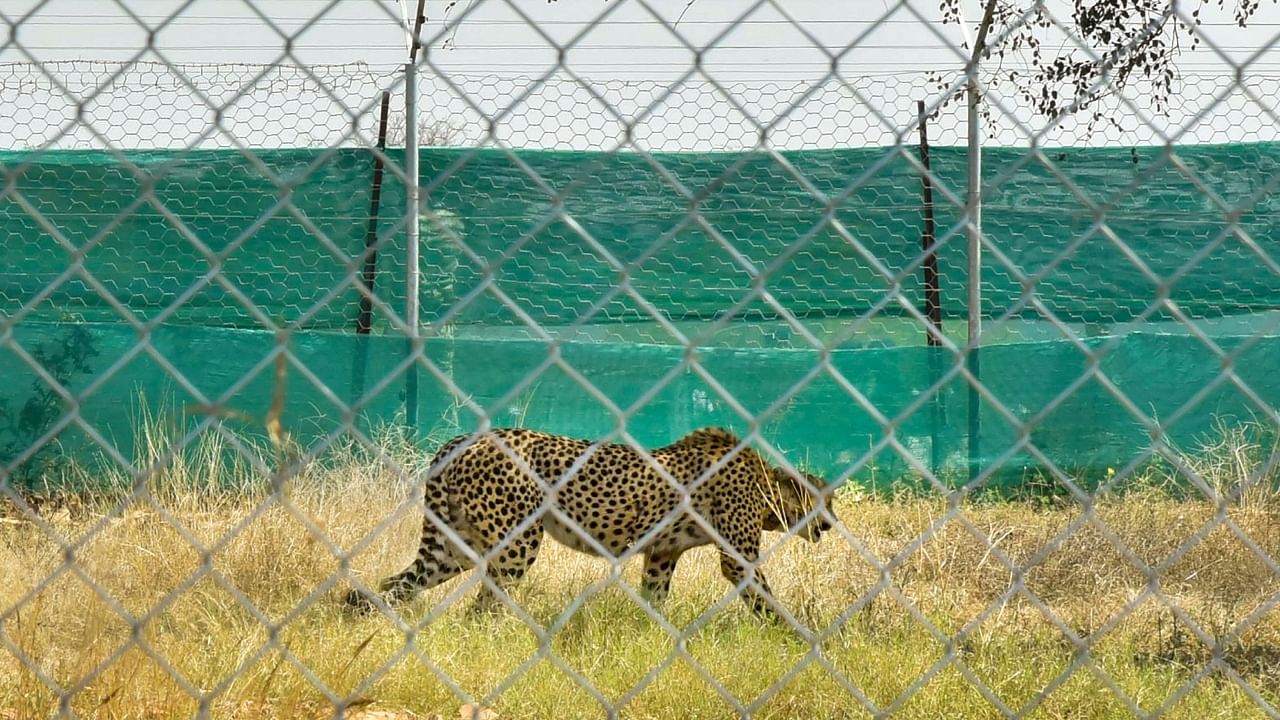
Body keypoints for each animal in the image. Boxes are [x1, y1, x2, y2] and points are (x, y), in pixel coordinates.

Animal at [345, 425, 834, 617]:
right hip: (516, 543)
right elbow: (766, 599)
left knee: (396, 584)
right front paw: (797, 637)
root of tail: (467, 438)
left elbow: (655, 598)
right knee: (483, 607)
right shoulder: (738, 559)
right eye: (821, 502)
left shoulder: (662, 552)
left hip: (453, 548)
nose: (830, 525)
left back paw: (363, 615)